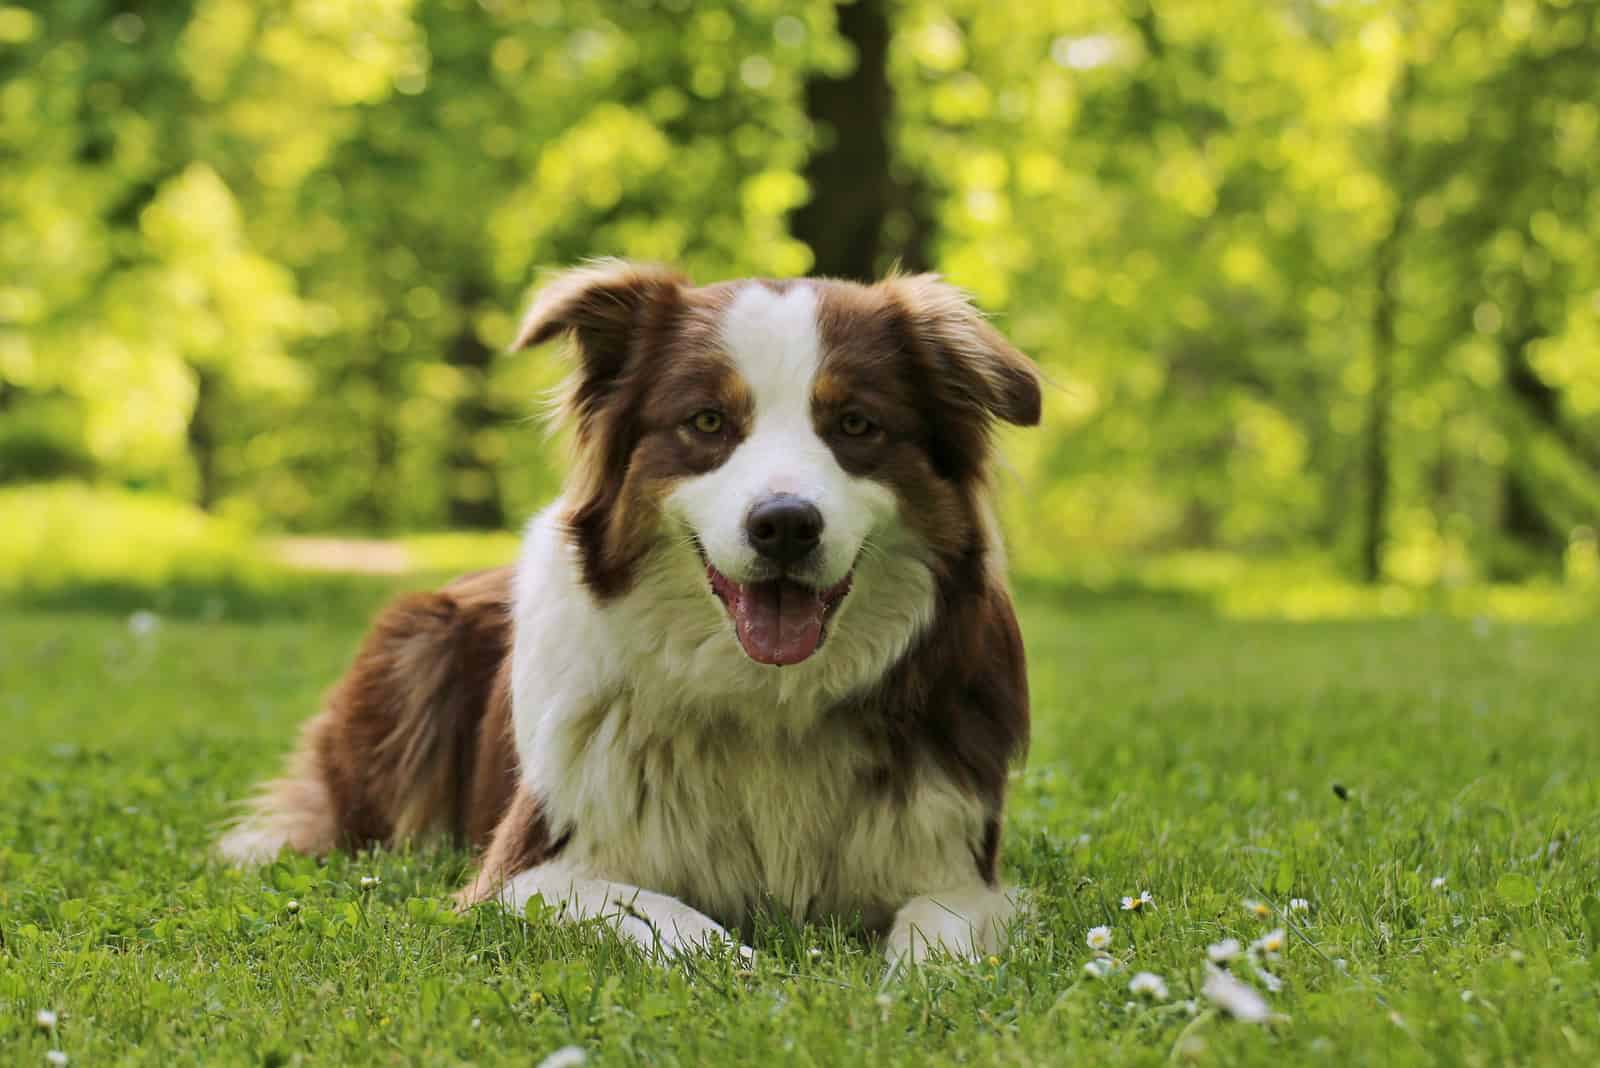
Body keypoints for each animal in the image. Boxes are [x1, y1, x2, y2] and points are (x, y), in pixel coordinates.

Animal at [219, 260, 1043, 965]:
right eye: (707, 422)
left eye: (857, 425)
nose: (784, 525)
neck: (767, 700)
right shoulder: (522, 873)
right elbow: (674, 919)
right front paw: (755, 974)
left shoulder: (960, 869)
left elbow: (938, 937)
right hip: (414, 651)